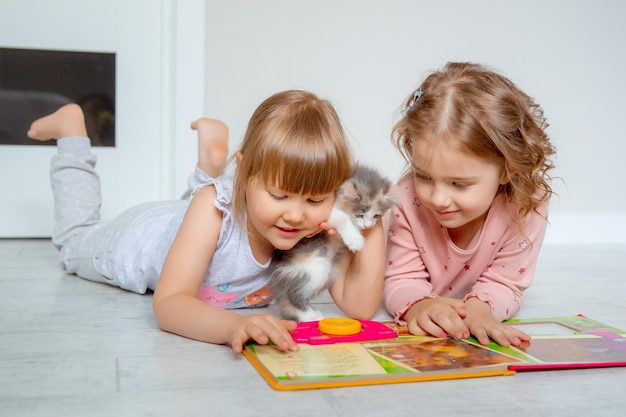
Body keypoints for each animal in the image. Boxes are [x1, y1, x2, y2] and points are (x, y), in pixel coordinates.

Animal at [266, 164, 394, 320]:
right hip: (315, 268)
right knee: (292, 295)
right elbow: (343, 218)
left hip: (330, 273)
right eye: (360, 214)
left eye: (376, 216)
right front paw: (354, 239)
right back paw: (311, 316)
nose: (368, 226)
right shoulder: (325, 214)